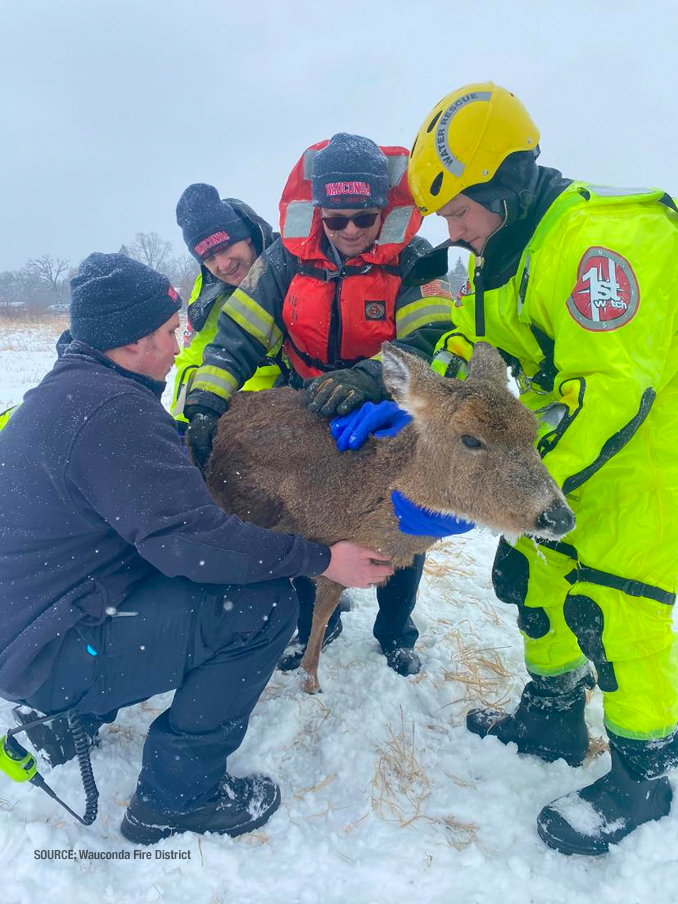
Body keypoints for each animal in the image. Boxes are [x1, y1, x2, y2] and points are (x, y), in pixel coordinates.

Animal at [205, 344, 576, 692]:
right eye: (471, 439)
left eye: (533, 434)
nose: (558, 517)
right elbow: (315, 605)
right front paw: (309, 678)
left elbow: (323, 610)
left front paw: (310, 676)